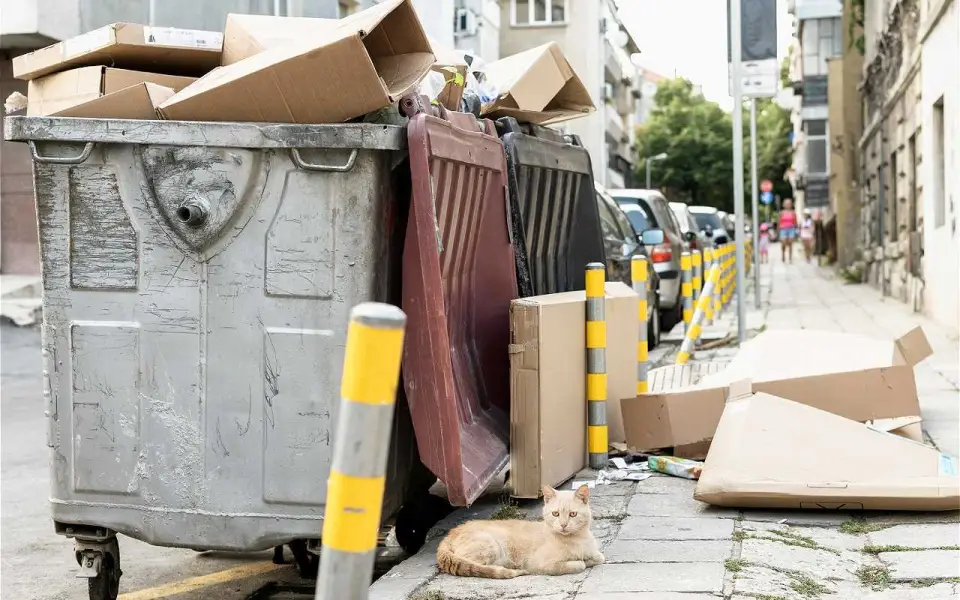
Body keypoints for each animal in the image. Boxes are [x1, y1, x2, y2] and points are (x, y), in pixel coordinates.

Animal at [436, 482, 604, 576]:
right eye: (555, 514)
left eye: (572, 514)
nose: (563, 525)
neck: (577, 539)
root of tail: (451, 533)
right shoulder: (539, 564)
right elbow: (579, 564)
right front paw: (582, 561)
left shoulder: (594, 552)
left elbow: (599, 557)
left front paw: (589, 558)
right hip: (491, 545)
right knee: (474, 564)